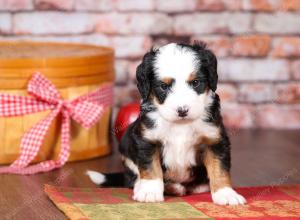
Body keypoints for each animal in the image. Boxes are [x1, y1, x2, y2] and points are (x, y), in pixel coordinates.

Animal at [86, 42, 246, 205]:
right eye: (164, 86)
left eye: (195, 83)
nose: (182, 110)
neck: (181, 124)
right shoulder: (147, 139)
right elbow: (151, 168)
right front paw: (149, 192)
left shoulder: (214, 139)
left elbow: (219, 168)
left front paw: (226, 194)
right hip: (127, 147)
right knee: (133, 180)